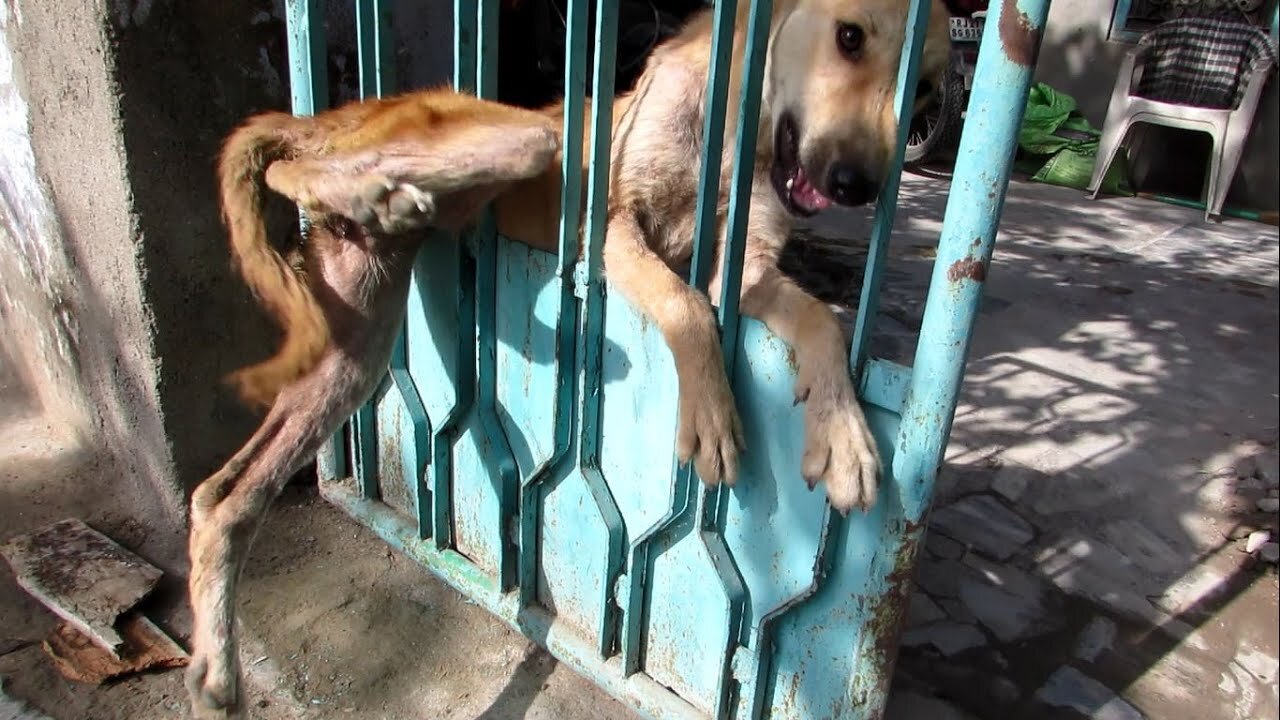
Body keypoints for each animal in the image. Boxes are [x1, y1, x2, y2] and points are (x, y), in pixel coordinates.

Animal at [186, 2, 952, 712]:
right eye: (849, 37)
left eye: (924, 94)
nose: (859, 186)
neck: (742, 136)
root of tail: (352, 108)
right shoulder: (610, 228)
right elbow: (685, 306)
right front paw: (710, 414)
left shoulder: (749, 273)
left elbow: (821, 321)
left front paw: (844, 434)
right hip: (524, 137)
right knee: (299, 164)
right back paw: (356, 187)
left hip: (352, 354)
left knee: (223, 498)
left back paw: (217, 668)